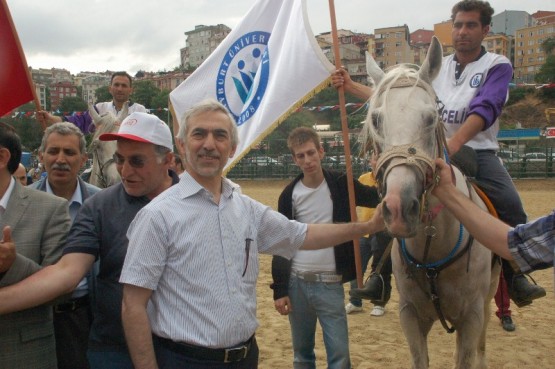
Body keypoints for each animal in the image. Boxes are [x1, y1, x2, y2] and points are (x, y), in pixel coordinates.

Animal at [362, 36, 502, 368]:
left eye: (430, 117)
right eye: (376, 119)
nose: (400, 209)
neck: (434, 245)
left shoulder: (471, 318)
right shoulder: (410, 316)